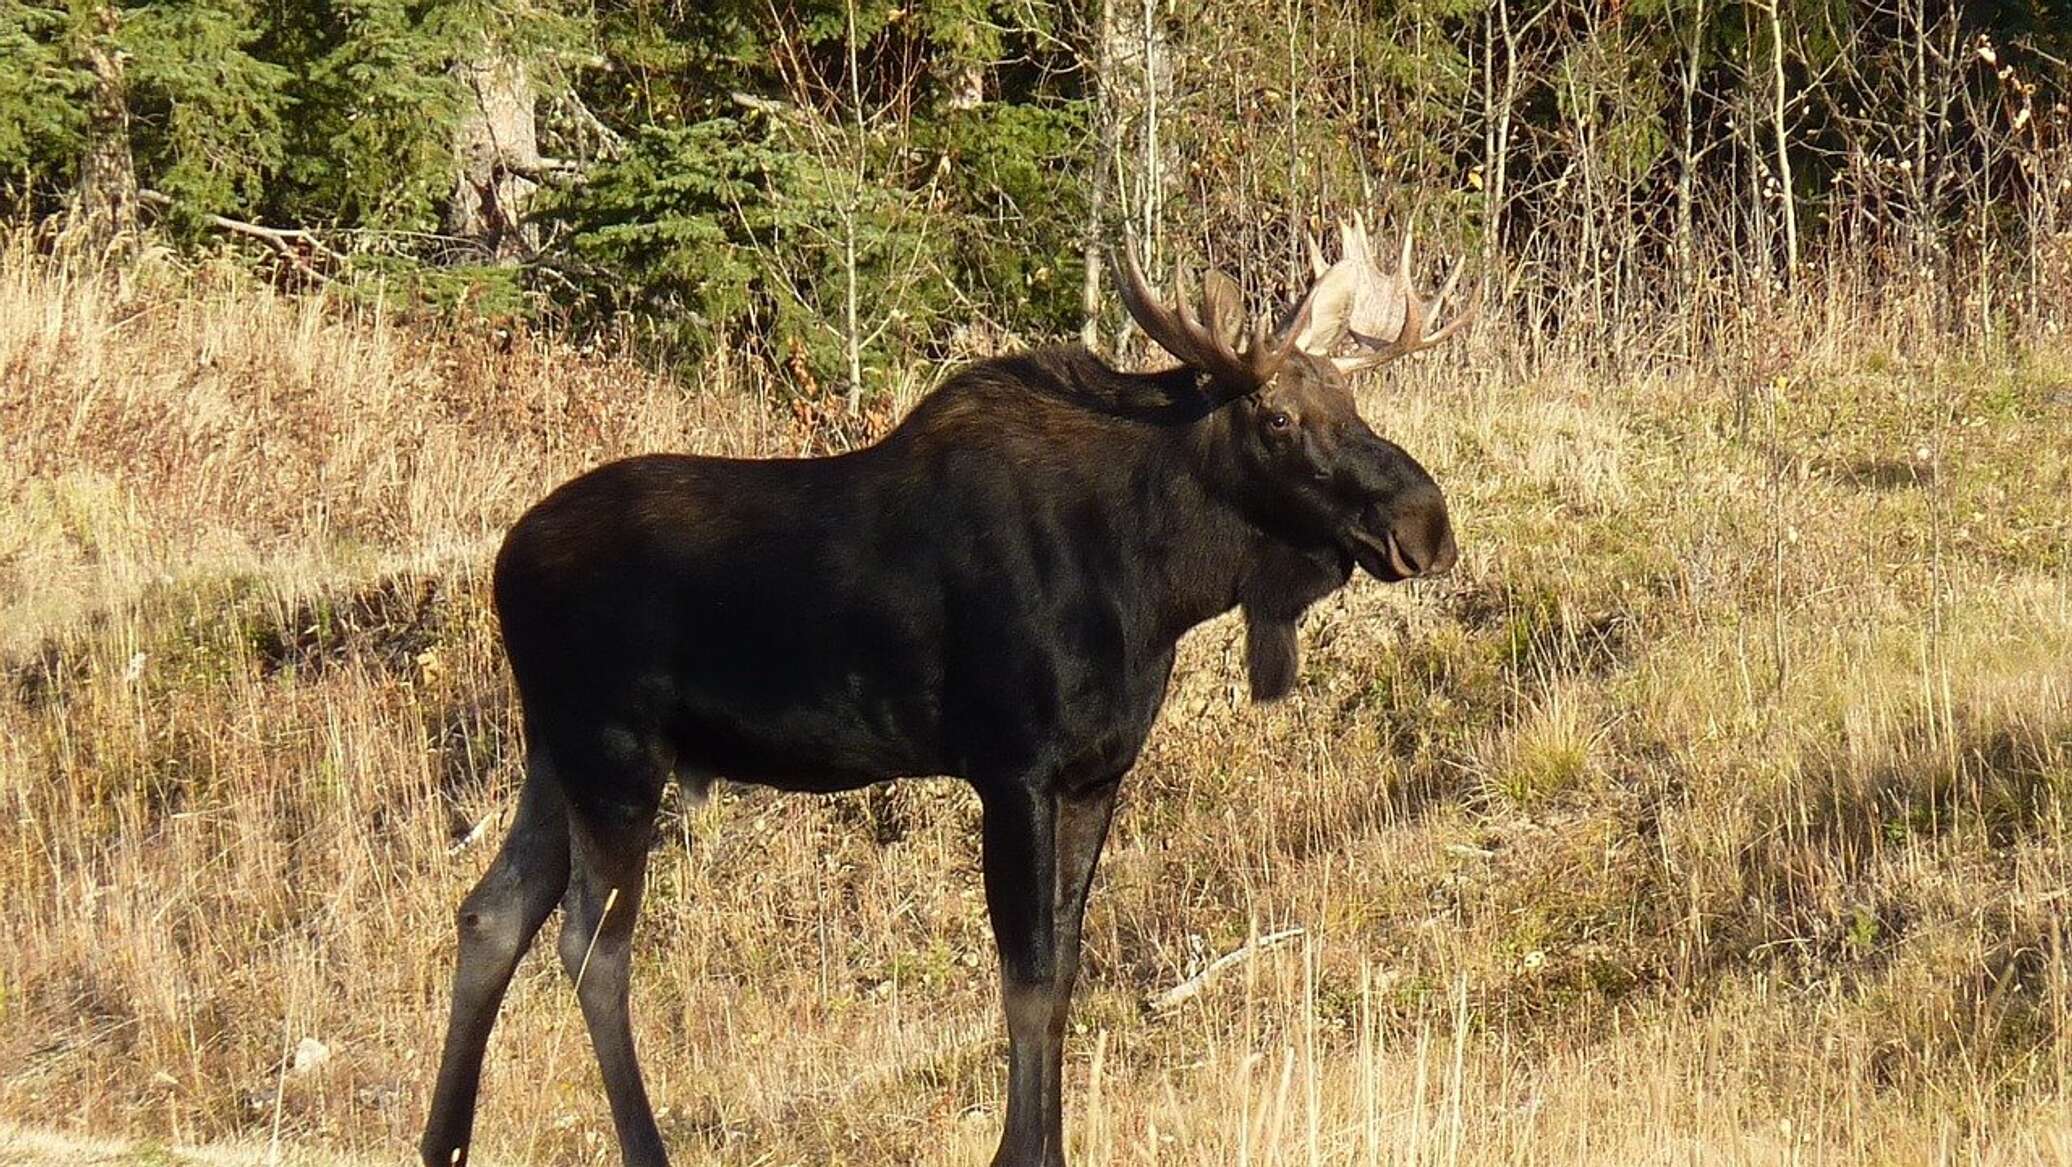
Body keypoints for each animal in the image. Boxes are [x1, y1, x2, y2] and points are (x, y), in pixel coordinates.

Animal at [416, 221, 1475, 1167]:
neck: (1157, 580)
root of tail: (504, 565)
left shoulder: (1095, 773)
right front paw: (1022, 1152)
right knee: (591, 947)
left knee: (491, 913)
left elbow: (1065, 968)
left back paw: (444, 1142)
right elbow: (1028, 978)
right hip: (614, 755)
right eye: (1278, 419)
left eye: (1350, 394)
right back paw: (641, 1147)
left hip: (553, 755)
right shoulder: (1012, 767)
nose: (1426, 521)